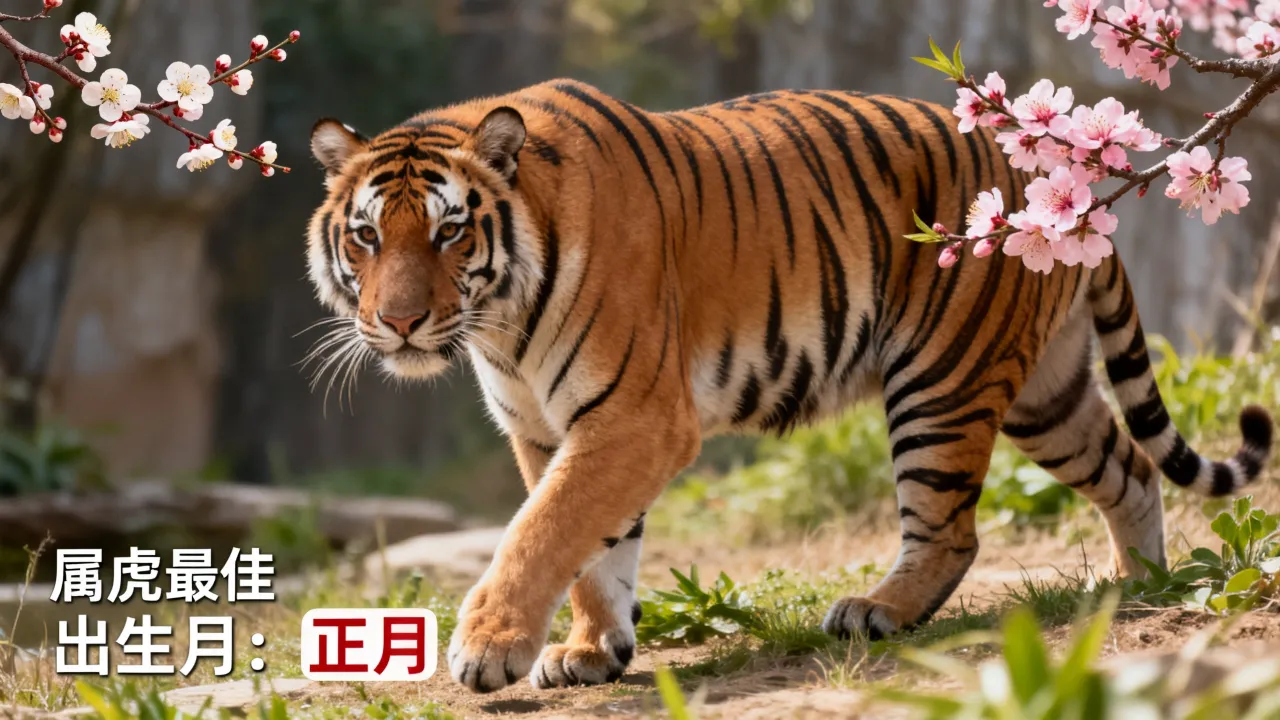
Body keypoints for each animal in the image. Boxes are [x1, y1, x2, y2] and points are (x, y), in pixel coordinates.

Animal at [304, 79, 1273, 693]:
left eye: (449, 232)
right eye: (366, 236)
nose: (398, 322)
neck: (500, 323)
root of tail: (1054, 180)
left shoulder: (634, 417)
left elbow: (542, 532)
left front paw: (489, 648)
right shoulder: (546, 430)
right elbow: (591, 549)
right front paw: (590, 649)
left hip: (941, 378)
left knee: (950, 529)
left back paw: (876, 611)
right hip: (1048, 390)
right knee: (1130, 469)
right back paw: (1139, 587)